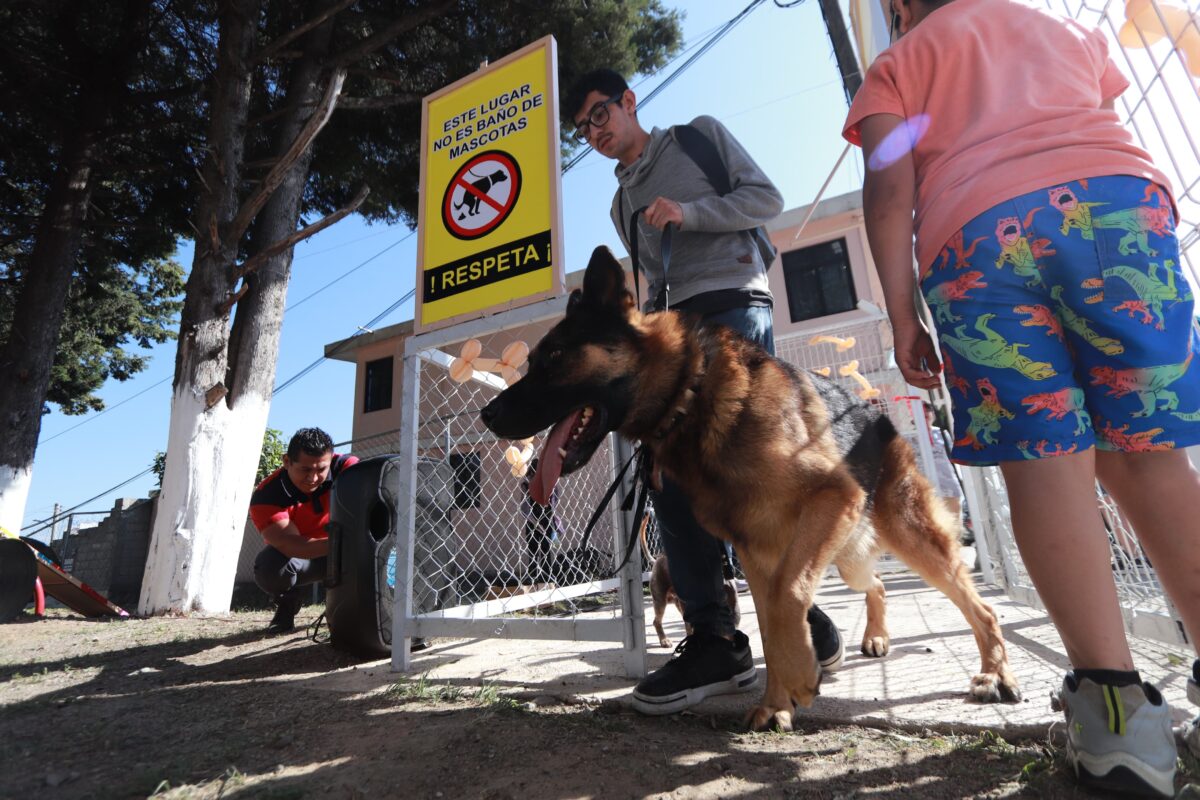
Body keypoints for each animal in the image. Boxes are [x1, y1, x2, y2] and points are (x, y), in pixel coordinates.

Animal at [480, 247, 1022, 729]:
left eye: (553, 356)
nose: (487, 414)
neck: (691, 393)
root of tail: (879, 417)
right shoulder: (757, 553)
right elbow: (770, 619)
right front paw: (777, 704)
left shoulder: (828, 503)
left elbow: (787, 598)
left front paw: (801, 674)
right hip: (848, 554)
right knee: (879, 584)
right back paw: (877, 638)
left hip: (904, 534)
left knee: (981, 608)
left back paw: (995, 674)